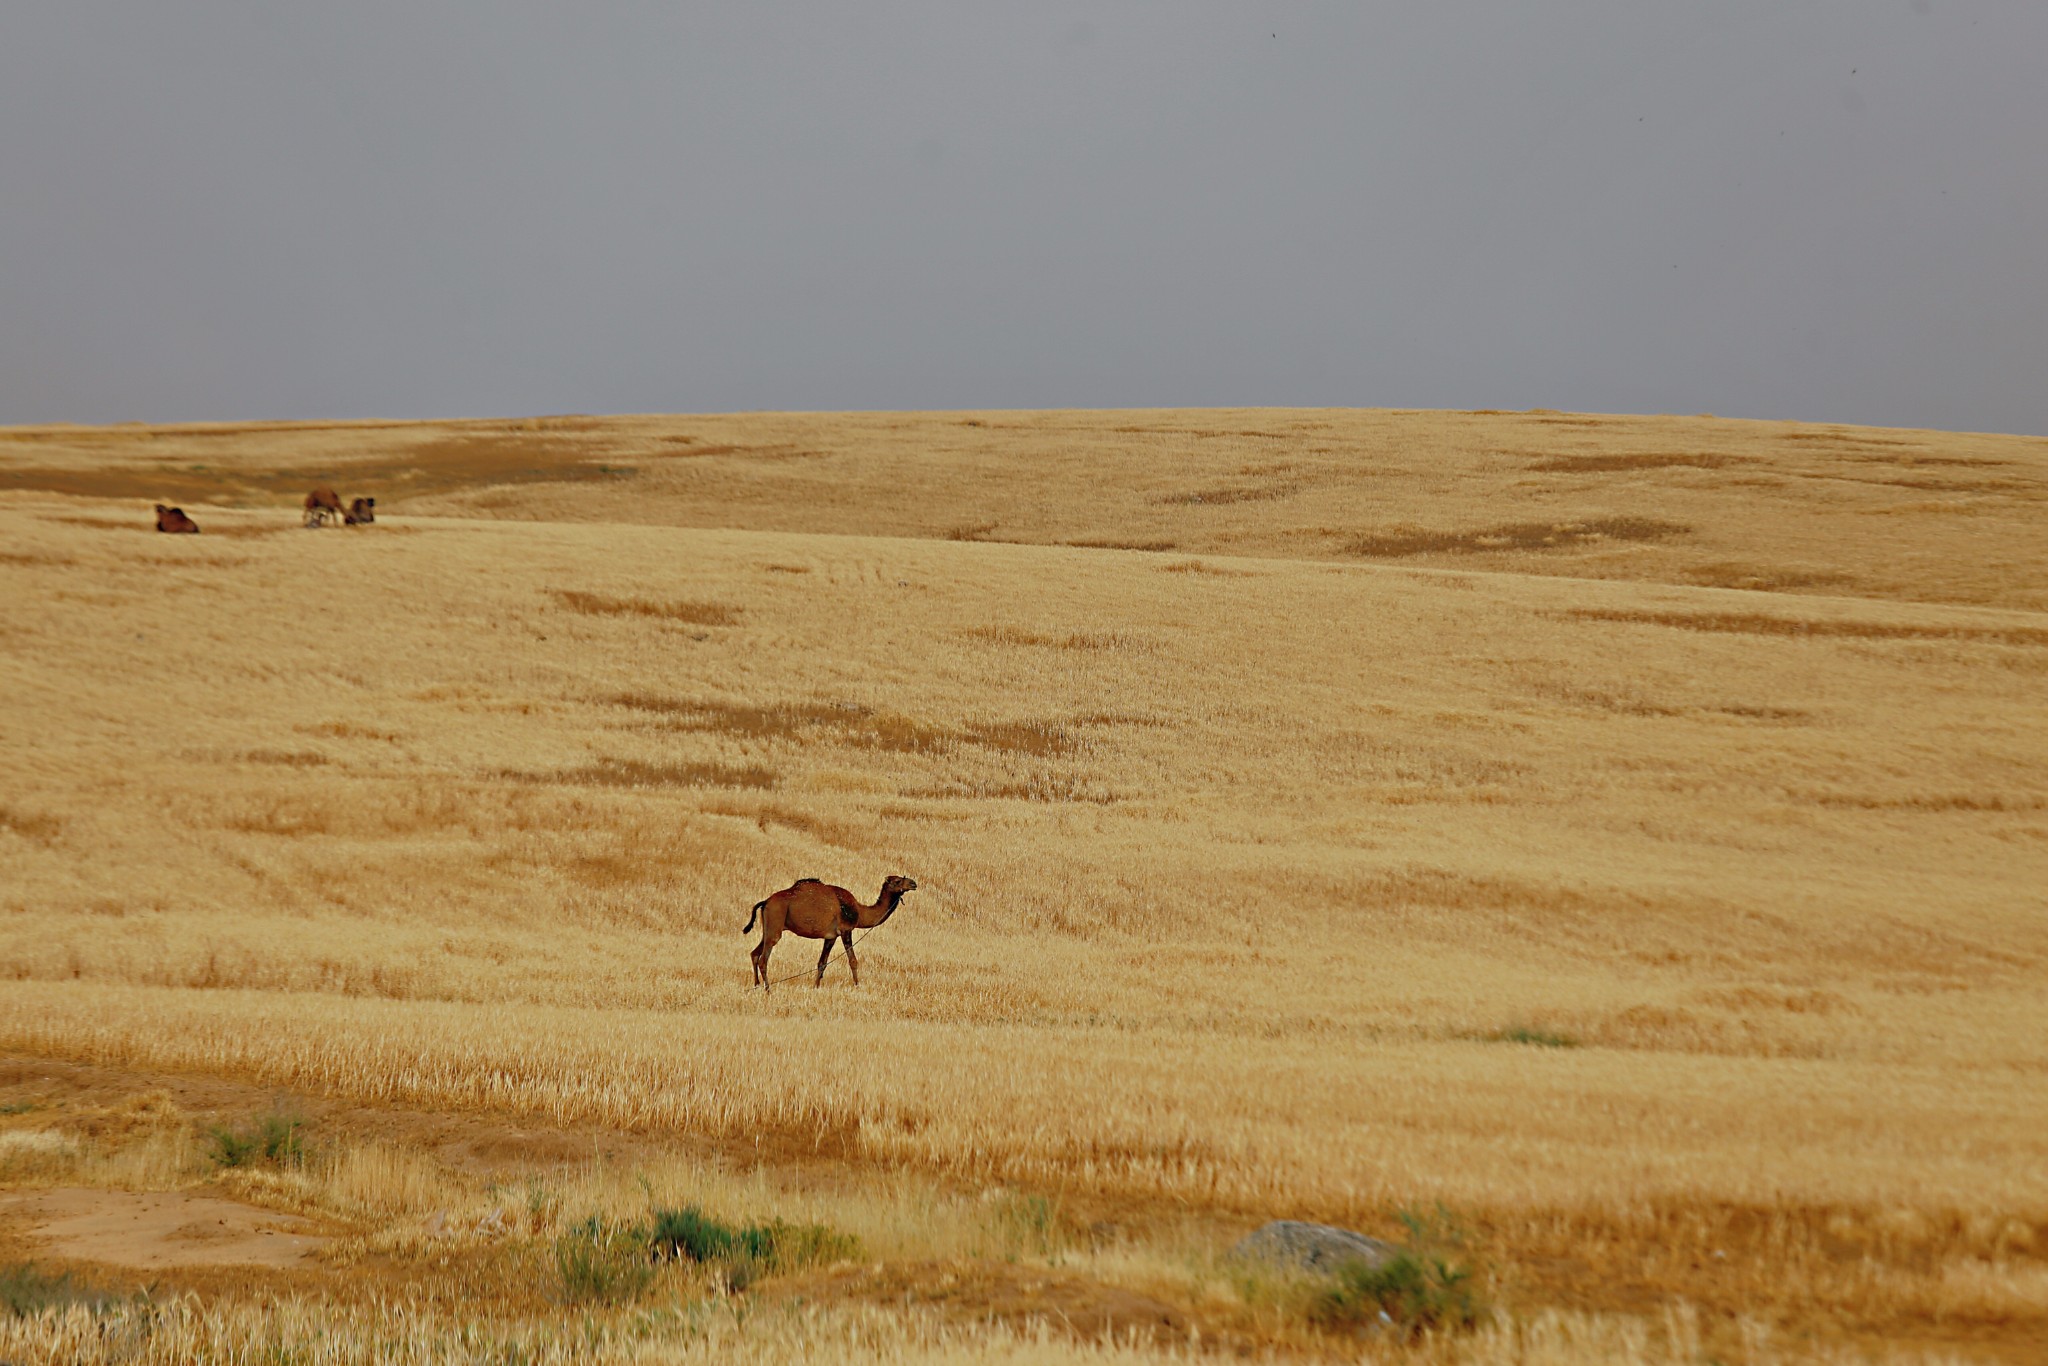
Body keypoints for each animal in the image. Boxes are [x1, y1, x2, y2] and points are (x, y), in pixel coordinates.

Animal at [749, 880, 917, 987]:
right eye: (897, 881)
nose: (913, 883)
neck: (859, 911)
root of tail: (765, 902)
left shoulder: (830, 936)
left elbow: (822, 963)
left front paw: (816, 987)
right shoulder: (846, 930)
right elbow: (853, 961)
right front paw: (857, 985)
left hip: (768, 928)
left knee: (754, 953)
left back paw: (756, 985)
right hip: (775, 924)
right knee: (763, 959)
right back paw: (768, 989)